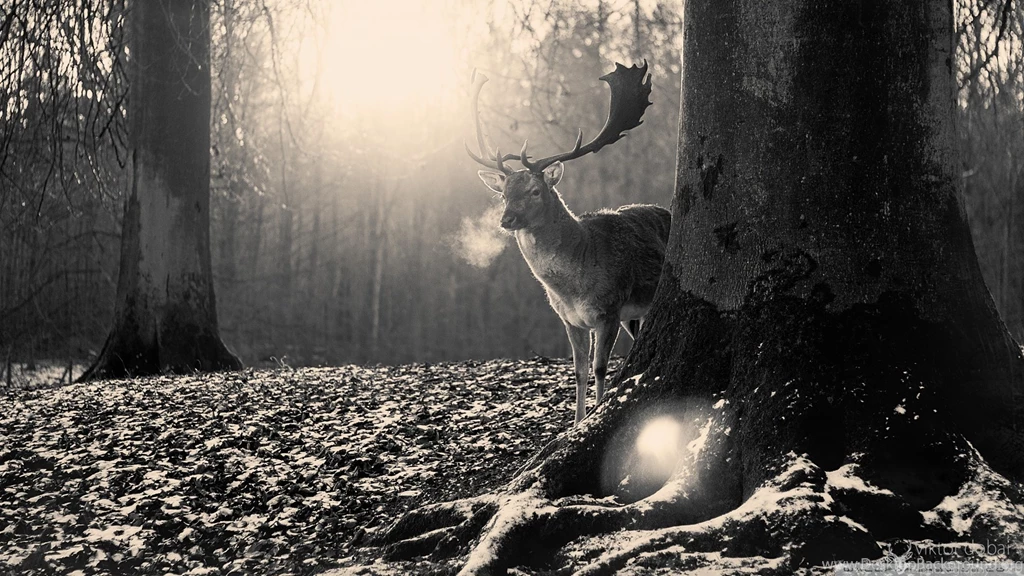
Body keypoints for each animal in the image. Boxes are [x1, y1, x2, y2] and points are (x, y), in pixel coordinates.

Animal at [466, 61, 672, 425]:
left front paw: (596, 413)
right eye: (503, 194)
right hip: (635, 314)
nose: (507, 220)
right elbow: (578, 371)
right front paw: (574, 423)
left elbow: (600, 367)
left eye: (535, 191)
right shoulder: (569, 320)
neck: (573, 285)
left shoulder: (609, 309)